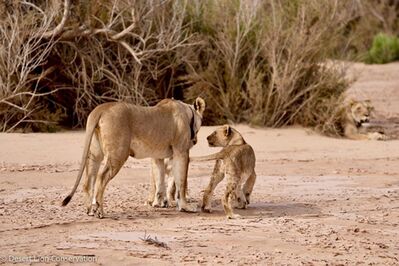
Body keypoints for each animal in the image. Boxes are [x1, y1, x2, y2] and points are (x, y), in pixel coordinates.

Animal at [63, 97, 208, 218]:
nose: (195, 140)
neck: (188, 113)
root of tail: (101, 108)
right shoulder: (181, 152)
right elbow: (181, 182)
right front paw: (185, 207)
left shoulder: (157, 156)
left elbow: (160, 180)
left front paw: (159, 203)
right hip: (118, 153)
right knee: (101, 177)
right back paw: (99, 211)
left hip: (95, 154)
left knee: (88, 181)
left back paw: (90, 210)